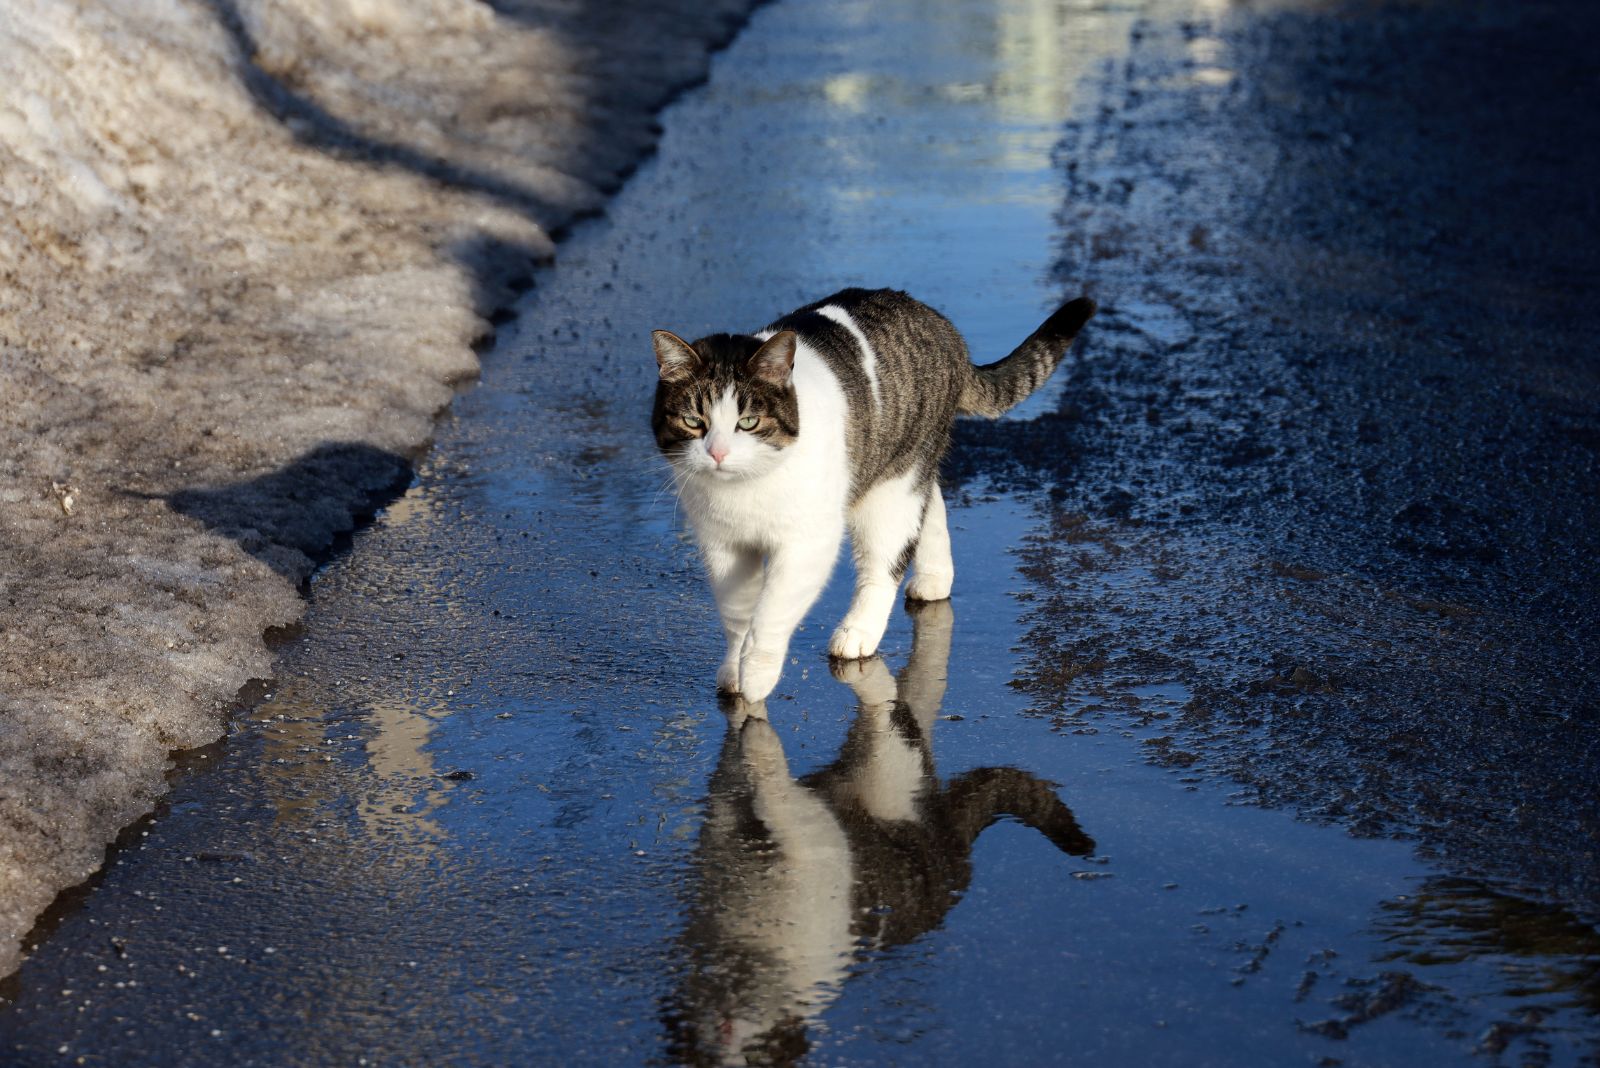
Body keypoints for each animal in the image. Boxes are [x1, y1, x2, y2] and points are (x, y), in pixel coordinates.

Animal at [646, 286, 1088, 700]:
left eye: (748, 422)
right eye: (693, 421)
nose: (718, 452)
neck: (745, 489)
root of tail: (939, 324)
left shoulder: (809, 543)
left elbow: (771, 610)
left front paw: (757, 676)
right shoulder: (722, 545)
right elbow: (738, 613)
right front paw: (734, 669)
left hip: (889, 492)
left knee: (886, 560)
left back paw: (859, 631)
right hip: (898, 469)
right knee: (931, 502)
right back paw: (935, 576)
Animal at [656, 601, 1094, 1061]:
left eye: (761, 1053)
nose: (726, 1039)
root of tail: (955, 857)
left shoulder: (807, 836)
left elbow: (769, 774)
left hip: (889, 771)